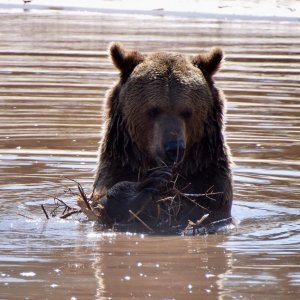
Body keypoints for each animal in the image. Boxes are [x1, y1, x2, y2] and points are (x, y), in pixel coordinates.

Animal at [88, 42, 233, 234]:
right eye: (153, 110)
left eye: (187, 111)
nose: (174, 148)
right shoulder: (119, 164)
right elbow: (102, 202)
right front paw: (141, 188)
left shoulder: (209, 177)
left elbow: (207, 206)